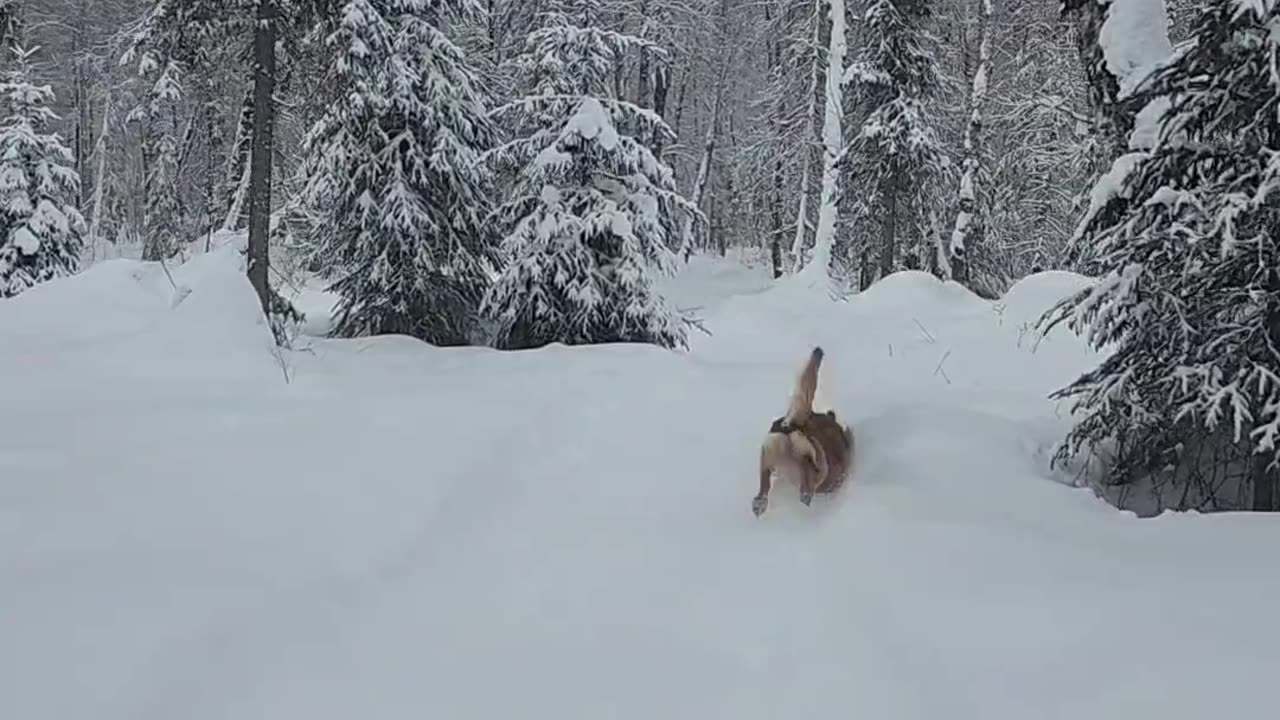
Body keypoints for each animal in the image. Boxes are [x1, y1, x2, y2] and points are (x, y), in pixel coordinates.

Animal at [752, 343, 855, 515]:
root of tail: (793, 424)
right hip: (814, 461)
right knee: (807, 470)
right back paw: (805, 495)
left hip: (768, 455)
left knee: (764, 480)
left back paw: (759, 503)